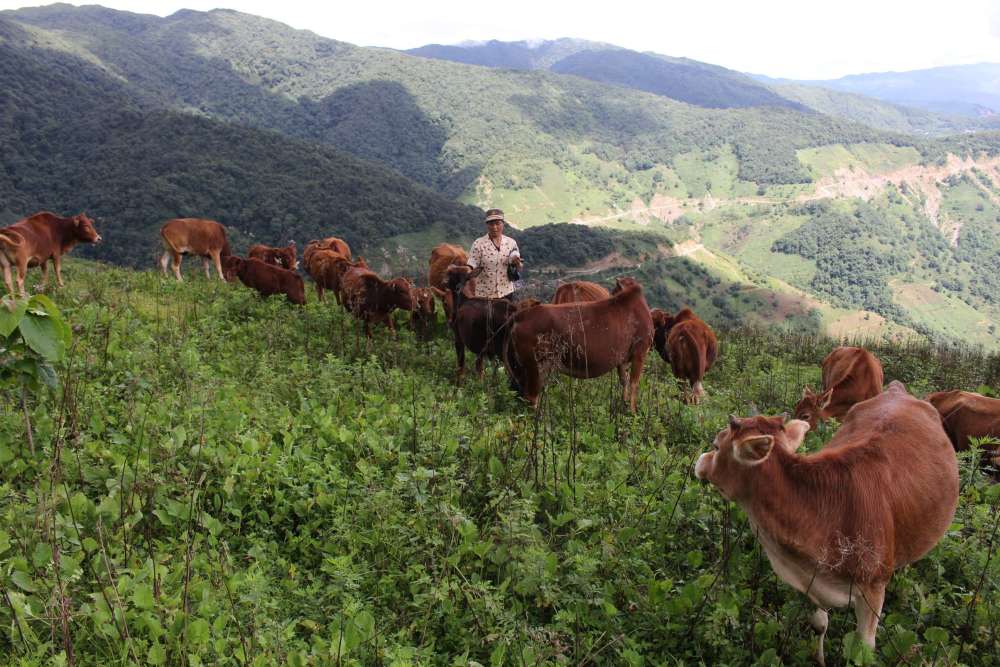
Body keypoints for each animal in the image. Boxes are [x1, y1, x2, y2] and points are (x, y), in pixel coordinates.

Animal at [504, 276, 652, 412]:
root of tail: (520, 316)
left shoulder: (622, 360)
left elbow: (624, 381)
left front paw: (624, 405)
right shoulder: (640, 352)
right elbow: (634, 383)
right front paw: (632, 412)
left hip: (525, 368)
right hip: (534, 366)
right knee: (531, 397)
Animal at [696, 384, 960, 664]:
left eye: (716, 445)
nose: (700, 460)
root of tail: (897, 390)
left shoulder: (873, 589)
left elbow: (863, 649)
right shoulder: (811, 576)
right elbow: (819, 624)